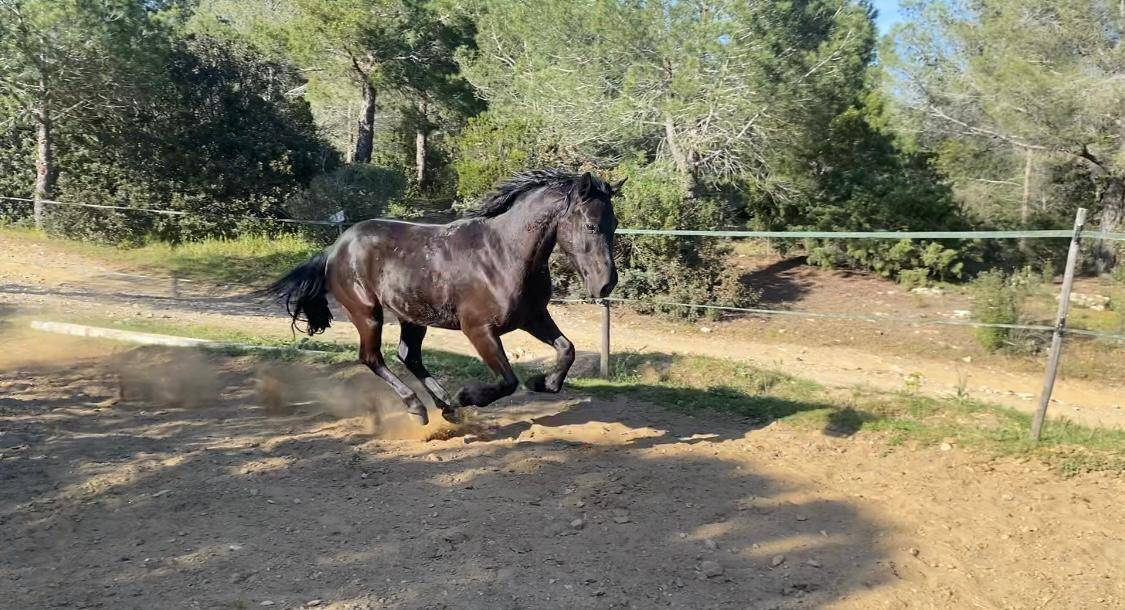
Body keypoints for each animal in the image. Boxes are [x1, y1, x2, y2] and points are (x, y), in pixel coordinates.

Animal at [263, 169, 622, 425]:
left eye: (615, 223)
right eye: (591, 225)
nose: (606, 284)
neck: (504, 254)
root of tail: (334, 249)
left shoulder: (532, 316)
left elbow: (567, 350)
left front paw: (541, 383)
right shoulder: (478, 329)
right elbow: (507, 380)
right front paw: (467, 396)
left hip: (412, 316)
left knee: (409, 355)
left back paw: (445, 406)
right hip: (367, 314)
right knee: (372, 358)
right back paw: (420, 408)